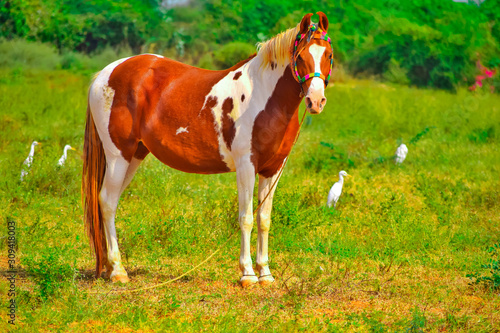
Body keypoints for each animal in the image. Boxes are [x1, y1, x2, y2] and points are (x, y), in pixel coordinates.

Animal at [81, 10, 332, 286]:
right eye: (300, 57)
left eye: (329, 55)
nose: (316, 101)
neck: (265, 97)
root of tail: (105, 73)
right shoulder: (246, 165)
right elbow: (246, 218)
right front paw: (247, 274)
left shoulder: (273, 169)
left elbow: (264, 219)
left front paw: (265, 273)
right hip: (118, 155)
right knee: (107, 201)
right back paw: (118, 271)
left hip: (134, 155)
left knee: (109, 201)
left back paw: (109, 267)